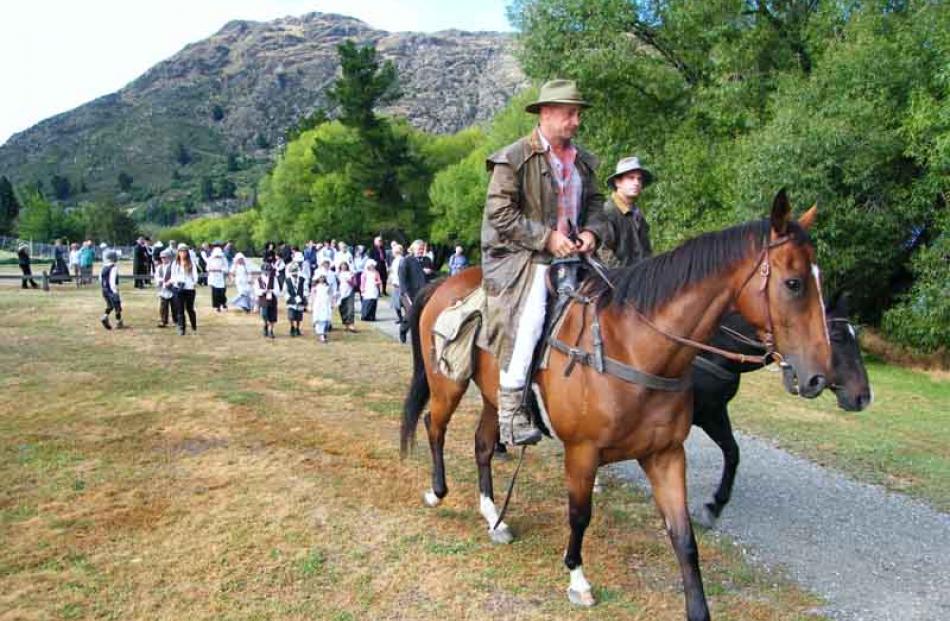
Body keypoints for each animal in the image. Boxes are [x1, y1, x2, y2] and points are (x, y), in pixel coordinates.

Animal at [402, 190, 832, 620]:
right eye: (793, 283)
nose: (818, 377)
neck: (633, 347)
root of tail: (444, 283)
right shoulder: (582, 452)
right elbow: (580, 515)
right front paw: (578, 580)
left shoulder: (665, 455)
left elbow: (684, 537)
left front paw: (698, 606)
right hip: (448, 385)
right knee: (433, 425)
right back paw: (437, 492)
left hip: (495, 399)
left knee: (483, 445)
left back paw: (494, 515)